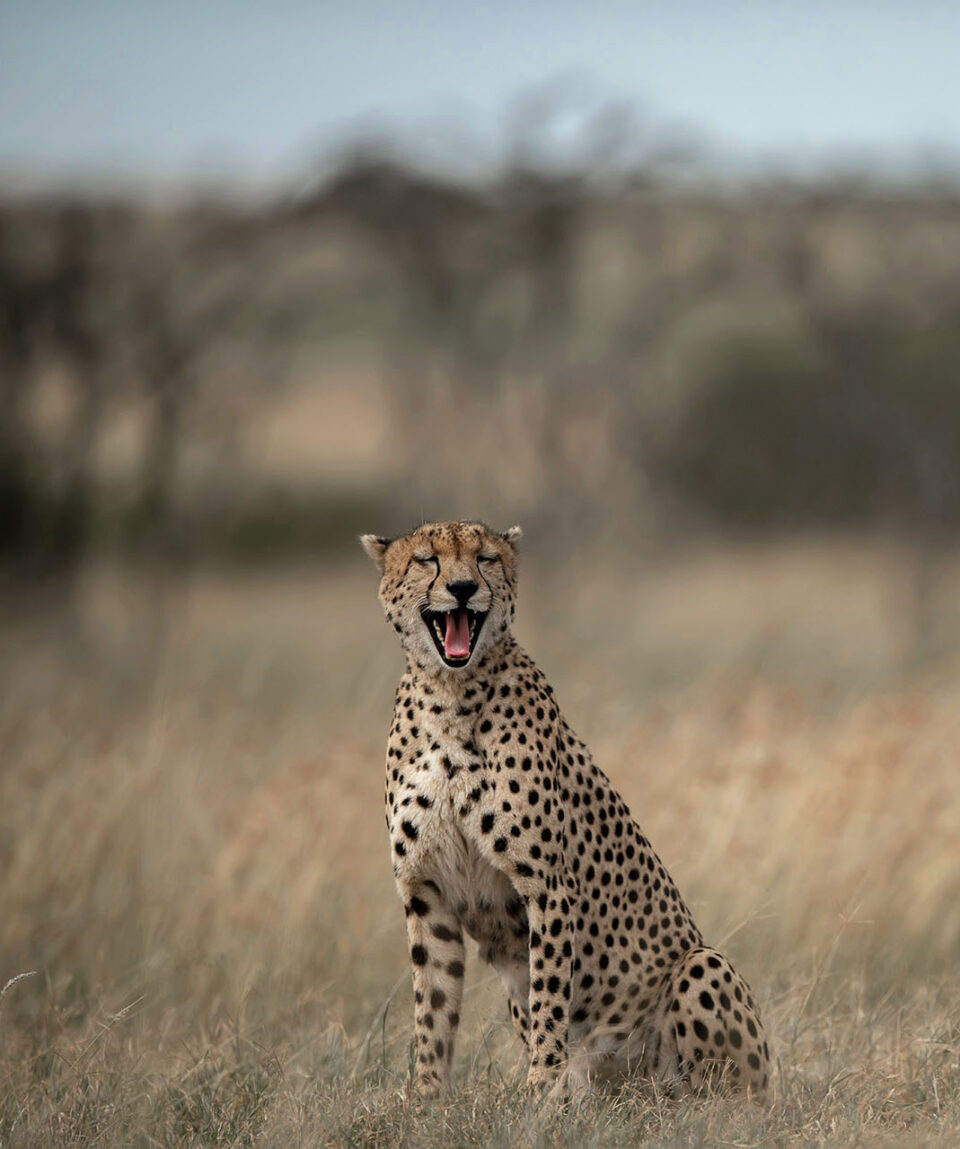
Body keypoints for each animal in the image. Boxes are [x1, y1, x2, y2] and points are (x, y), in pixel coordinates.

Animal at [360, 521, 771, 1093]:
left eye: (485, 559)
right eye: (426, 560)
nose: (463, 588)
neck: (450, 691)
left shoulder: (547, 886)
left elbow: (550, 994)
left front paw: (541, 1090)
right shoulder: (426, 892)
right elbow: (432, 1007)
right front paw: (425, 1099)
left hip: (702, 965)